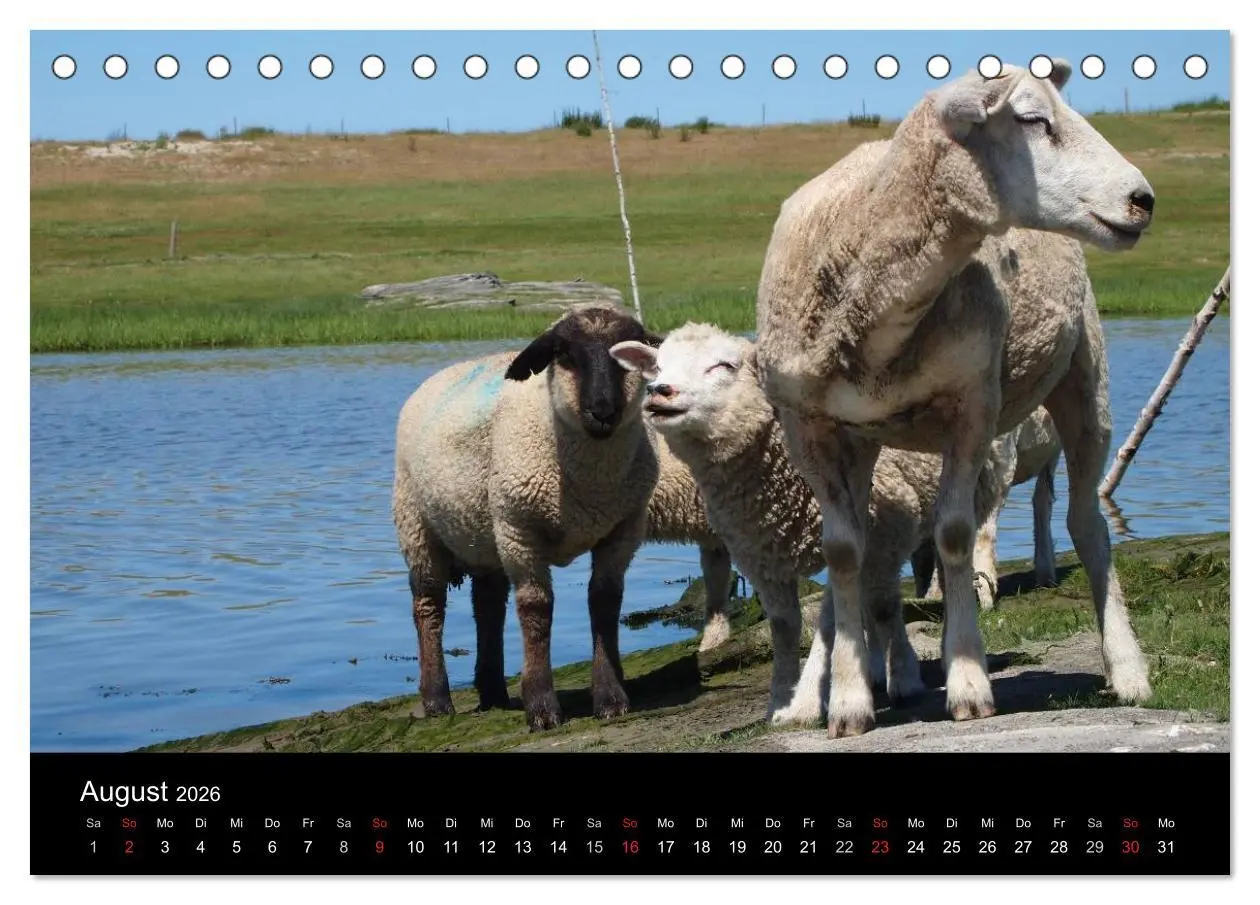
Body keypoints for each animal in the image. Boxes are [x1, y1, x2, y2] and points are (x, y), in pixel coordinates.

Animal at [392, 302, 663, 731]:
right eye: (563, 354)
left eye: (629, 354)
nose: (603, 411)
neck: (590, 487)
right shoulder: (520, 530)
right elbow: (536, 608)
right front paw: (541, 707)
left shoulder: (623, 529)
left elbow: (604, 602)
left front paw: (610, 698)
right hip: (419, 526)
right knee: (429, 606)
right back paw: (437, 699)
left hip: (485, 535)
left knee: (488, 608)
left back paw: (493, 692)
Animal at [611, 322, 1018, 725]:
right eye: (657, 368)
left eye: (724, 365)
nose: (659, 391)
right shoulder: (757, 551)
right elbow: (785, 627)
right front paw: (780, 701)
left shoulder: (872, 526)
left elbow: (833, 620)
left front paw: (808, 702)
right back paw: (874, 671)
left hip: (962, 487)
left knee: (925, 586)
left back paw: (929, 666)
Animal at [754, 59, 1153, 736]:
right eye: (1032, 119)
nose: (1143, 199)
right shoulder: (806, 425)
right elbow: (842, 553)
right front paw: (850, 702)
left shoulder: (973, 405)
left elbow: (957, 536)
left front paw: (968, 684)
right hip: (867, 441)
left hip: (1084, 378)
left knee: (1086, 524)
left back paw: (1126, 671)